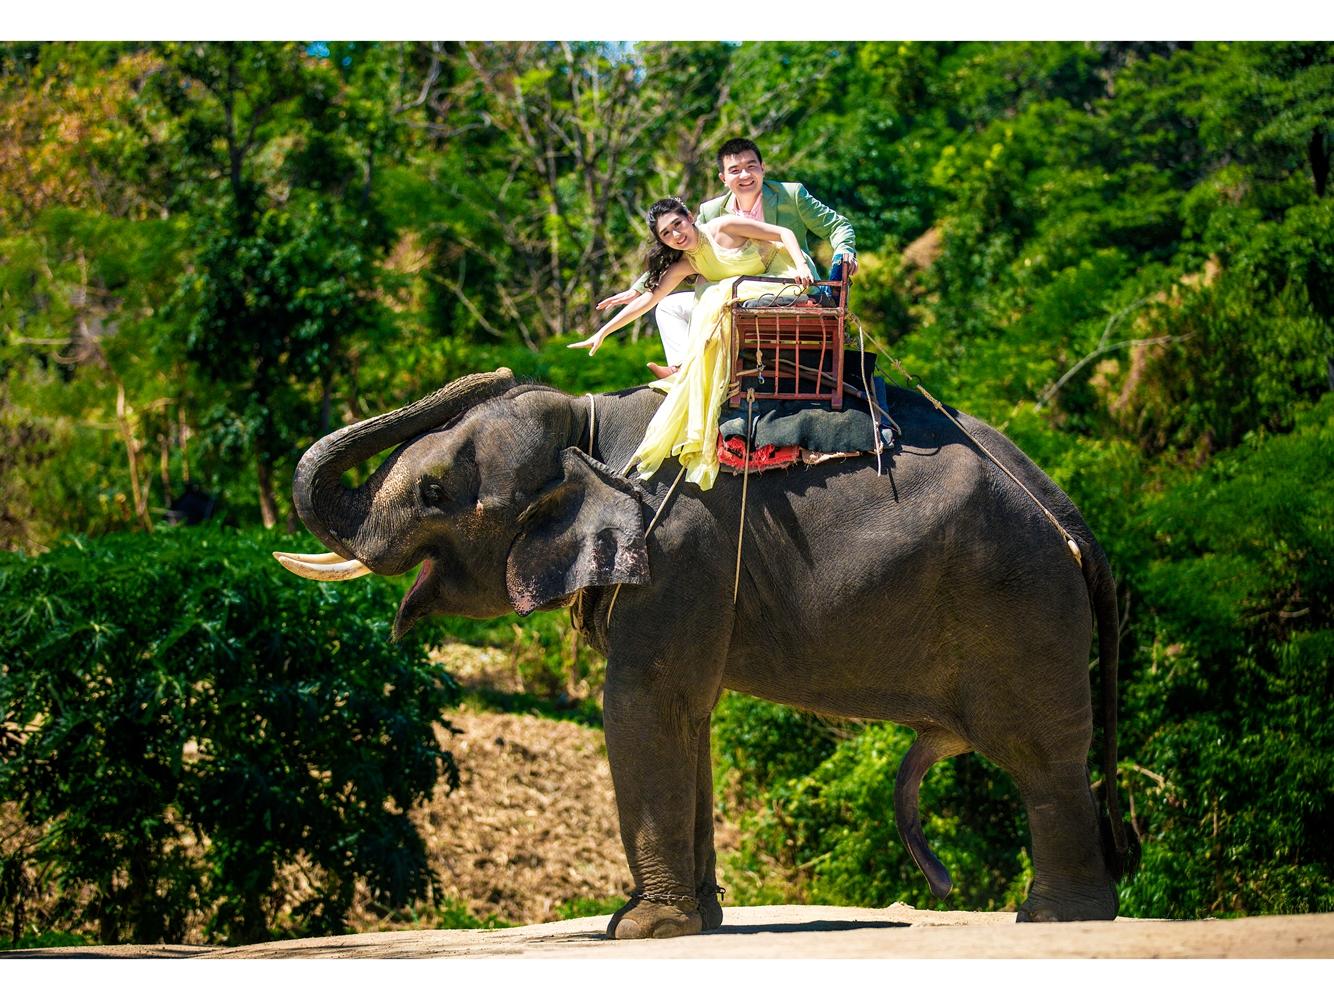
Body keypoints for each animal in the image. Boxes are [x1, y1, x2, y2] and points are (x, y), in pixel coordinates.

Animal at [278, 365, 1136, 938]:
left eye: (433, 495)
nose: (498, 371)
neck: (588, 427)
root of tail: (1064, 508)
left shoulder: (678, 552)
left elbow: (641, 705)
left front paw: (636, 931)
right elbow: (688, 719)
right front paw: (694, 920)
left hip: (1018, 604)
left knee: (1041, 756)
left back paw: (1054, 920)